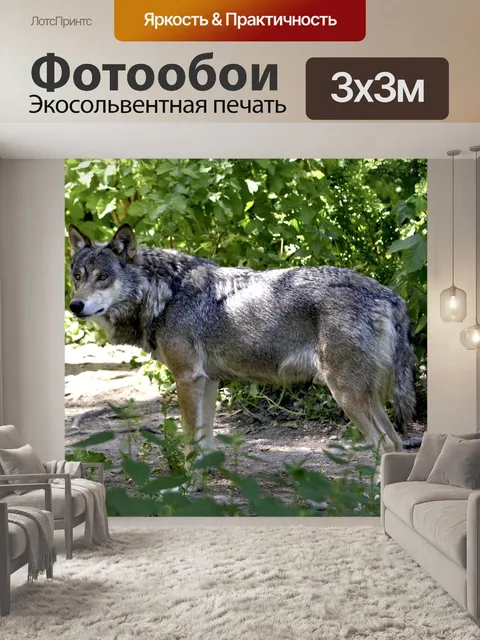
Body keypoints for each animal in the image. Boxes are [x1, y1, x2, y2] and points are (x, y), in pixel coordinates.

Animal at [68, 223, 415, 461]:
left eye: (103, 277)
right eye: (78, 276)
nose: (75, 306)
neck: (165, 293)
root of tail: (390, 295)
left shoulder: (187, 378)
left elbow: (189, 443)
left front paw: (186, 487)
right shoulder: (208, 381)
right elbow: (205, 442)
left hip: (346, 395)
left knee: (386, 444)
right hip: (368, 397)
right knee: (397, 444)